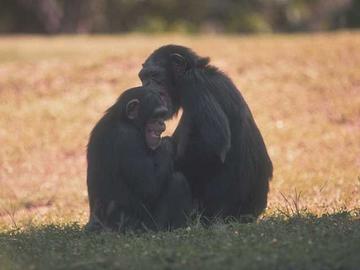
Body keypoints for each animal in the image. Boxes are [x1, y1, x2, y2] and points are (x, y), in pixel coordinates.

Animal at [85, 86, 191, 232]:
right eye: (156, 115)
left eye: (162, 115)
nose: (161, 123)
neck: (126, 121)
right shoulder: (129, 140)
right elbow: (149, 186)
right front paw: (166, 144)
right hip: (138, 227)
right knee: (177, 181)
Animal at [139, 44, 274, 221]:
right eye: (143, 78)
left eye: (154, 76)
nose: (146, 87)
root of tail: (250, 216)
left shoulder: (196, 84)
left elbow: (213, 143)